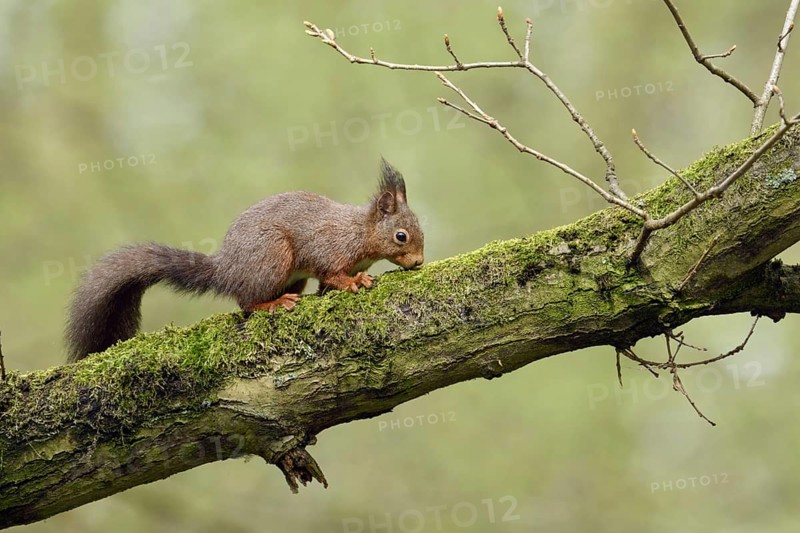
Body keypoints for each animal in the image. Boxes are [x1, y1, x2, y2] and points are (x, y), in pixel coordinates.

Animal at [65, 158, 424, 362]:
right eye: (401, 236)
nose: (419, 262)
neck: (361, 232)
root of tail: (227, 270)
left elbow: (325, 287)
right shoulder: (328, 248)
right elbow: (332, 273)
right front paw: (354, 282)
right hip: (274, 257)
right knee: (246, 303)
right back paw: (273, 304)